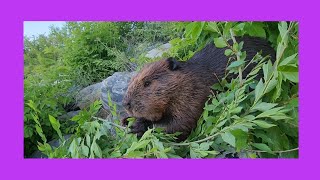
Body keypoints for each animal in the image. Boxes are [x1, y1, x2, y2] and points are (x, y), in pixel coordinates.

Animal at [121, 35, 276, 141]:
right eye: (131, 80)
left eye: (147, 83)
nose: (126, 104)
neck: (192, 76)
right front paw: (126, 120)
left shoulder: (193, 95)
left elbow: (179, 125)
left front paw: (136, 127)